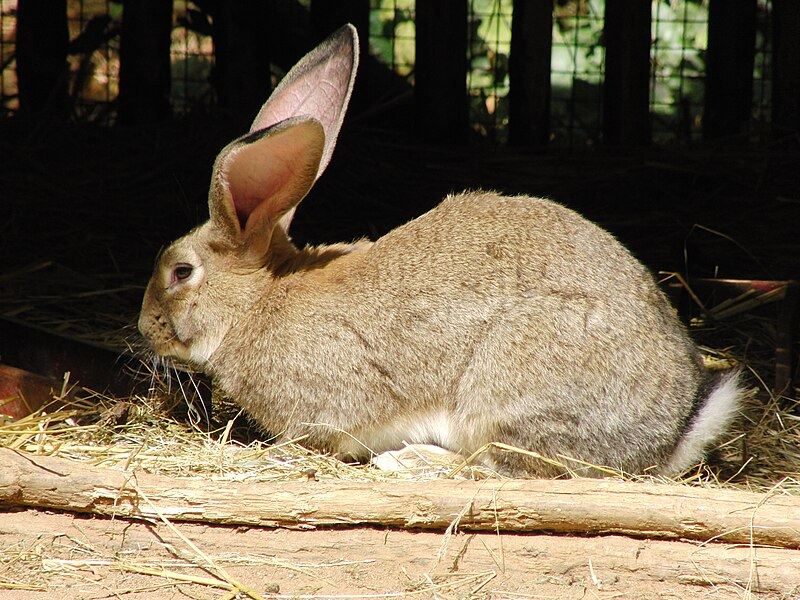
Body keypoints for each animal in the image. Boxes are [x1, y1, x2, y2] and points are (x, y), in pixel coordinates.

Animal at [139, 24, 744, 478]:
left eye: (181, 271)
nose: (145, 328)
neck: (256, 303)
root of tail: (673, 432)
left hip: (508, 389)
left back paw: (410, 461)